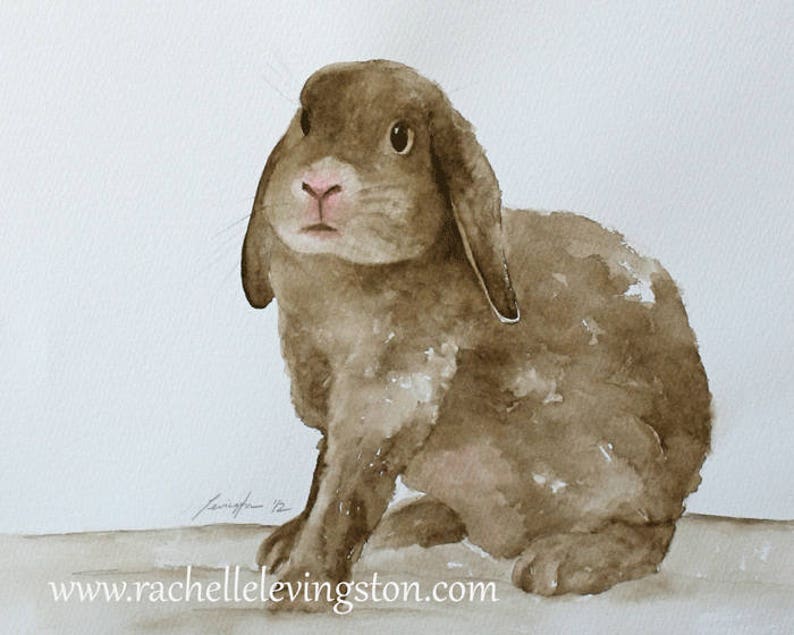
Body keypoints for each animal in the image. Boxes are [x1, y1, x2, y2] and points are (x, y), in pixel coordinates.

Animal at [241, 59, 711, 609]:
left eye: (401, 137)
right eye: (307, 122)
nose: (320, 185)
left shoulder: (389, 395)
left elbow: (346, 491)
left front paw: (303, 587)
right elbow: (321, 474)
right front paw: (283, 547)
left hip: (616, 473)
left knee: (652, 534)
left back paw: (565, 563)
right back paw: (410, 522)